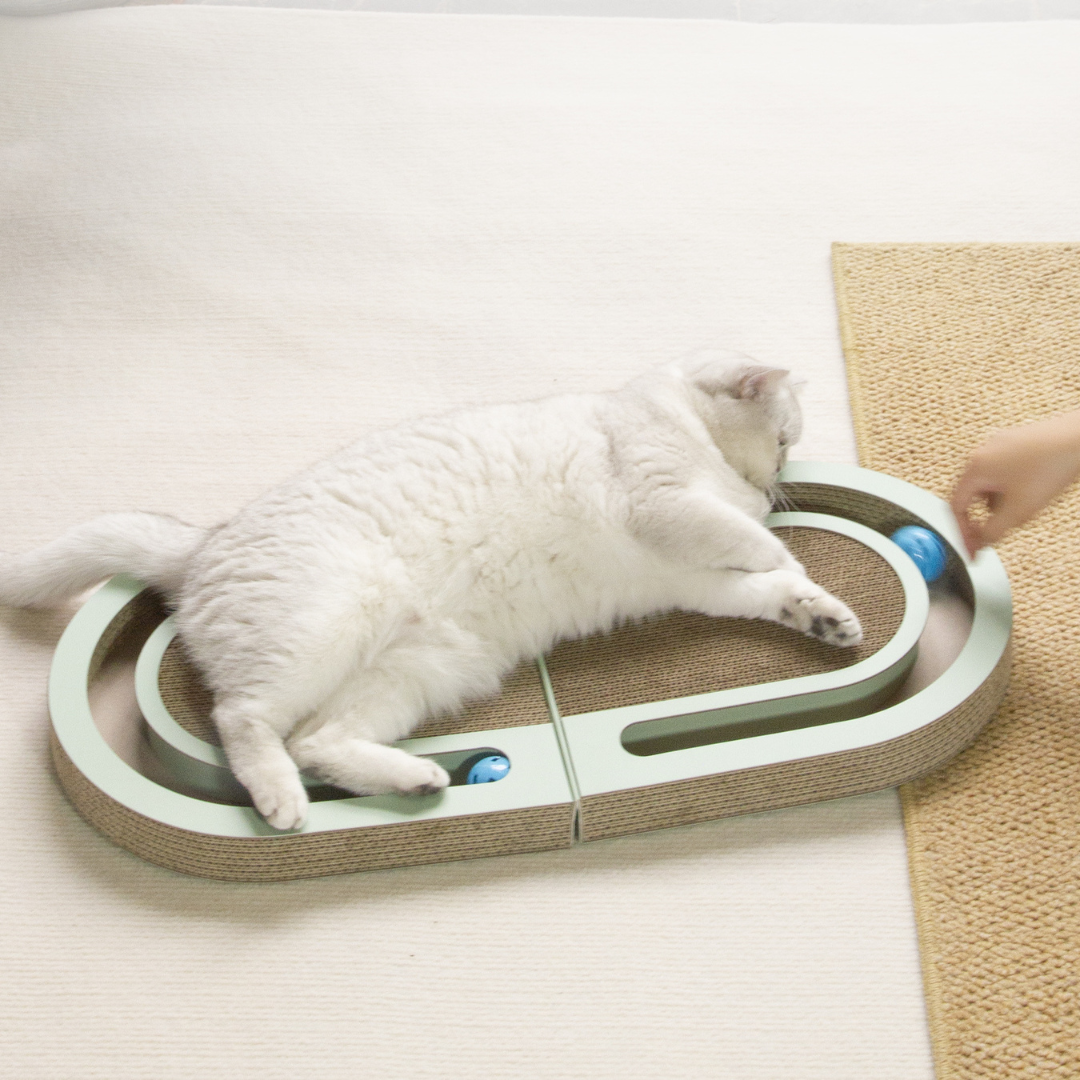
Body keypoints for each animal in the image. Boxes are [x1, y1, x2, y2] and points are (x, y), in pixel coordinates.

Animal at [0, 352, 859, 825]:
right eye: (785, 440)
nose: (776, 482)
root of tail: (206, 541)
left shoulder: (687, 577)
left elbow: (761, 585)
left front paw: (820, 613)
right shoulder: (667, 507)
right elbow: (757, 543)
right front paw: (789, 555)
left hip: (418, 672)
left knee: (318, 742)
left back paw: (415, 779)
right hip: (322, 628)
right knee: (245, 722)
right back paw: (283, 802)